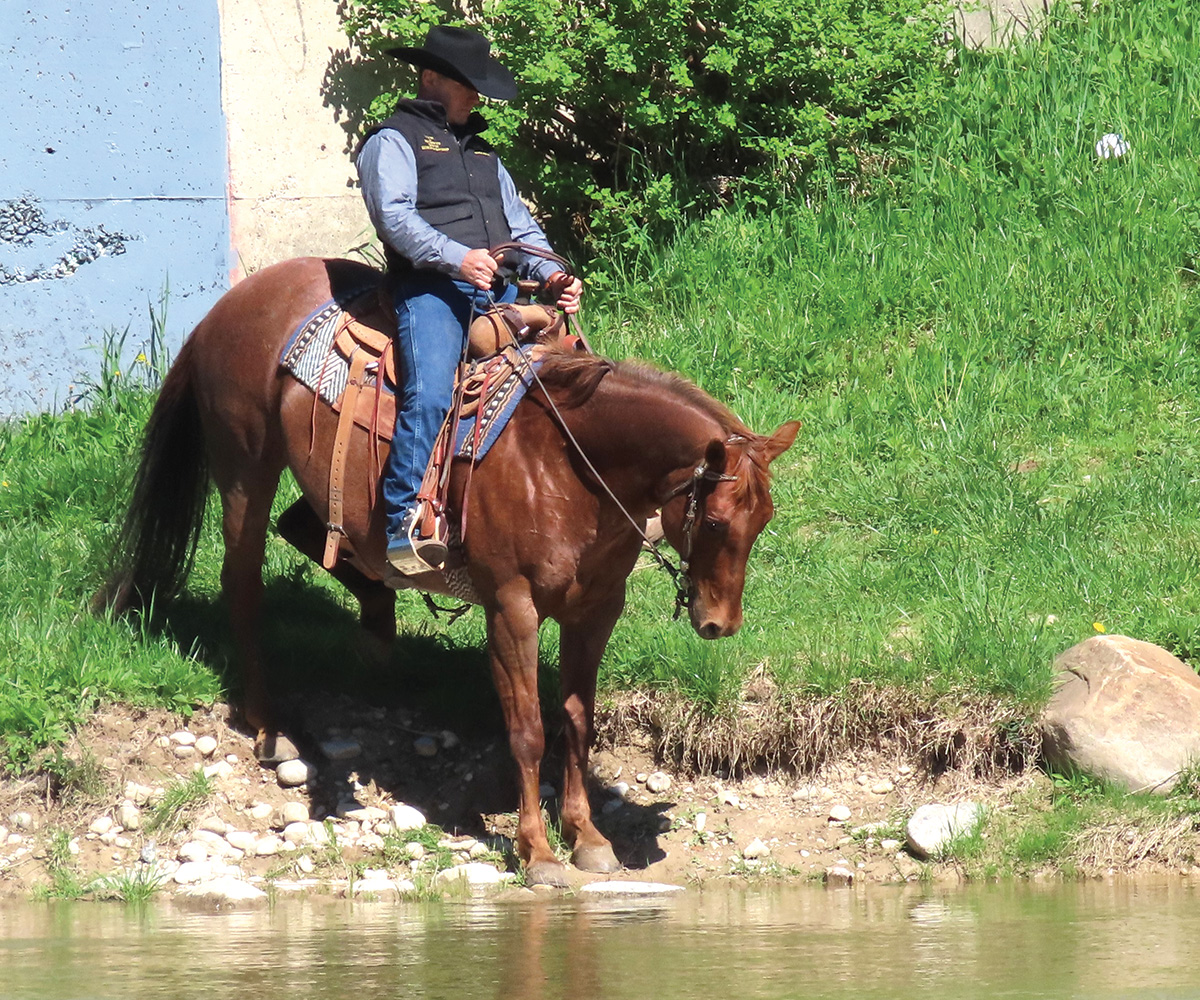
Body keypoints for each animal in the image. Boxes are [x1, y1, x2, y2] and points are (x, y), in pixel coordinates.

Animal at [100, 255, 796, 883]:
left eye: (763, 520)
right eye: (714, 523)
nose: (719, 624)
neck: (569, 463)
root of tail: (225, 307)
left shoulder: (597, 608)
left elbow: (577, 721)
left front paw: (588, 837)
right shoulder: (512, 607)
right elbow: (527, 729)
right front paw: (538, 852)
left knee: (308, 532)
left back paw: (378, 627)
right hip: (247, 468)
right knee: (242, 585)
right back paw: (271, 728)